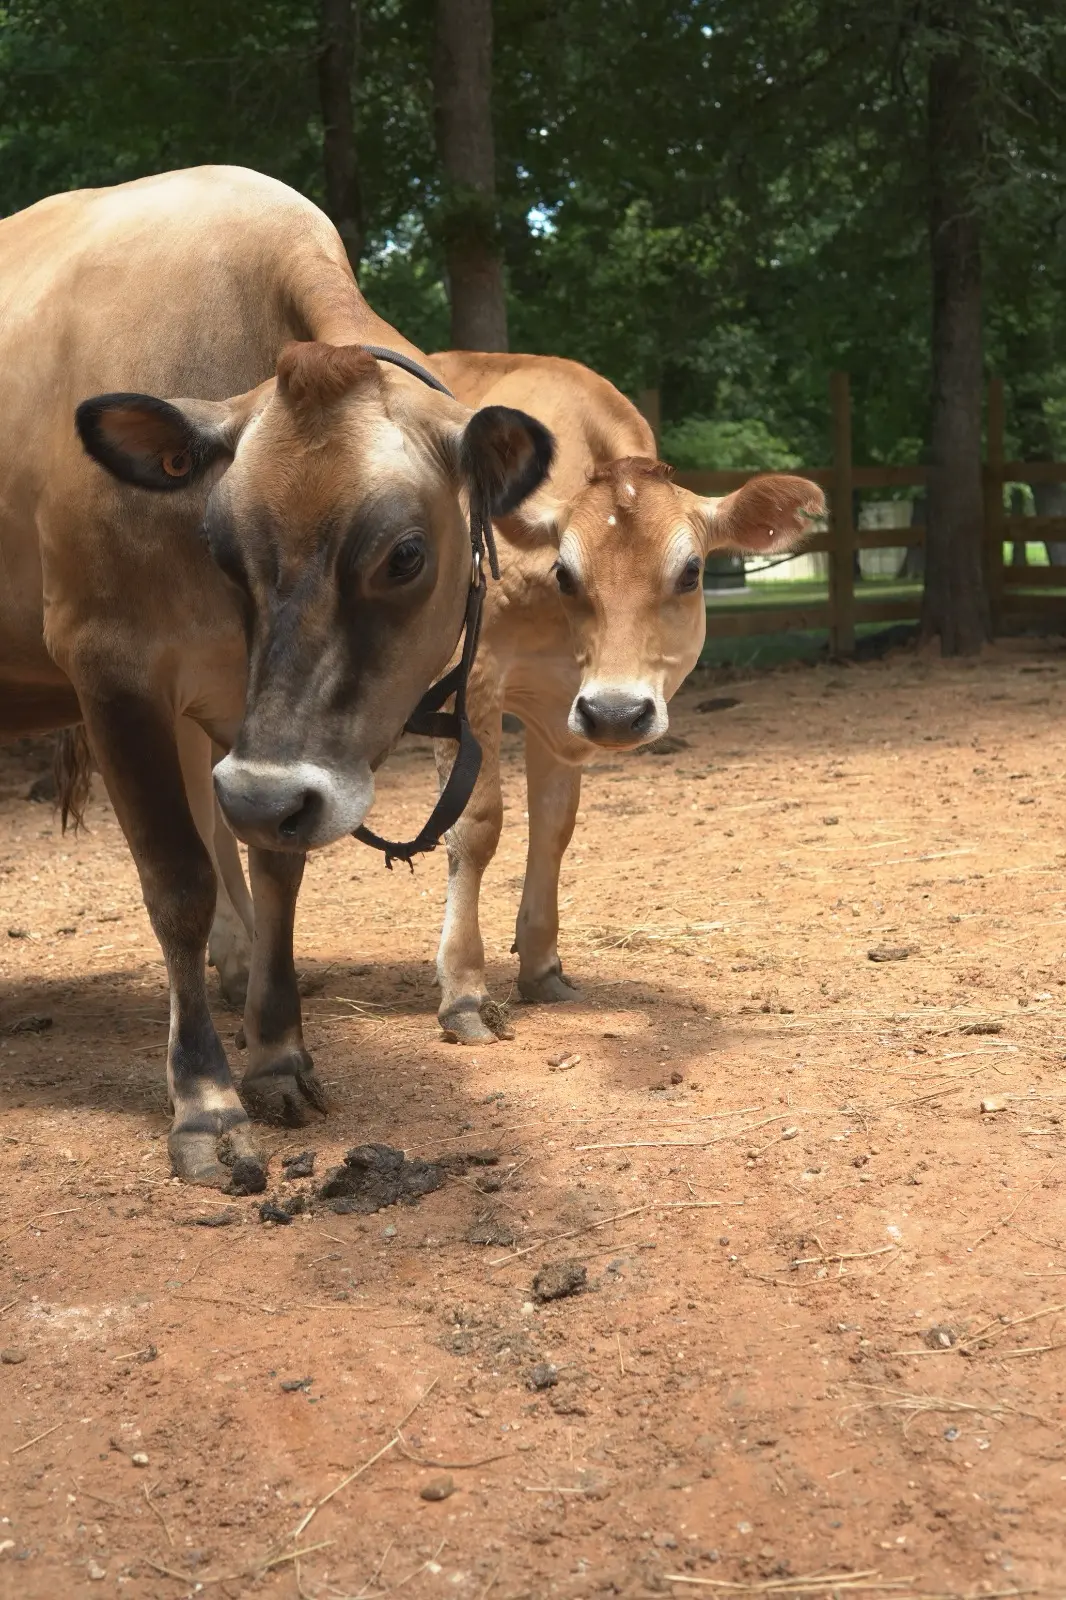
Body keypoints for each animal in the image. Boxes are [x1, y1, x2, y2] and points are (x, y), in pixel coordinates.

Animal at [0, 167, 552, 1183]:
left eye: (405, 556)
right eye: (221, 543)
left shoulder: (255, 735)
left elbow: (277, 870)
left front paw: (280, 1057)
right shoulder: (110, 667)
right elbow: (178, 883)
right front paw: (207, 1103)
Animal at [425, 352, 824, 1043]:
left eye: (692, 571)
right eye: (564, 572)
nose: (616, 711)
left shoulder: (563, 711)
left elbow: (553, 825)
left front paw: (542, 968)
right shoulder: (467, 676)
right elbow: (476, 825)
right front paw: (464, 992)